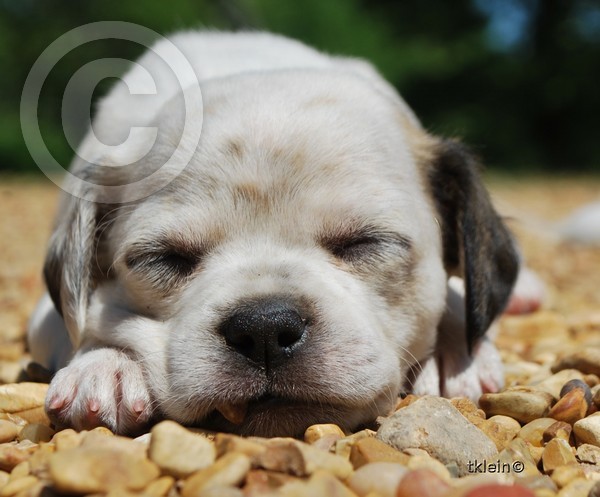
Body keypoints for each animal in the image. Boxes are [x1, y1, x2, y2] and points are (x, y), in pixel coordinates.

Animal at [25, 30, 516, 434]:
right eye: (164, 258)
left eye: (365, 243)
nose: (263, 327)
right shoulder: (48, 313)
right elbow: (89, 321)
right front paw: (104, 365)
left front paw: (453, 349)